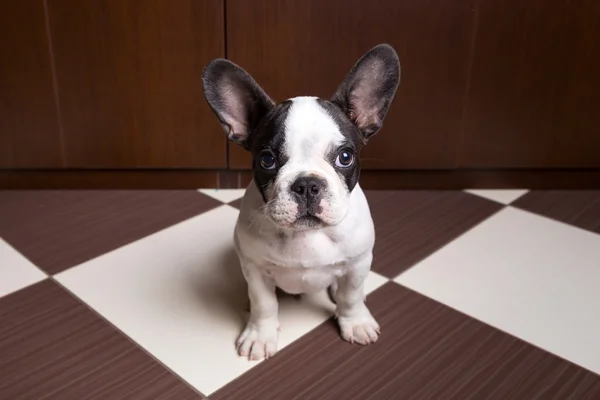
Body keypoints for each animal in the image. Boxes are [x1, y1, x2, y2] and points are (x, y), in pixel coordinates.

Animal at [200, 43, 398, 360]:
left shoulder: (358, 263)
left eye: (345, 157)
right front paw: (260, 335)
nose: (307, 184)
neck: (307, 235)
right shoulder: (255, 269)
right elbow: (264, 303)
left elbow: (351, 297)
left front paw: (355, 322)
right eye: (267, 160)